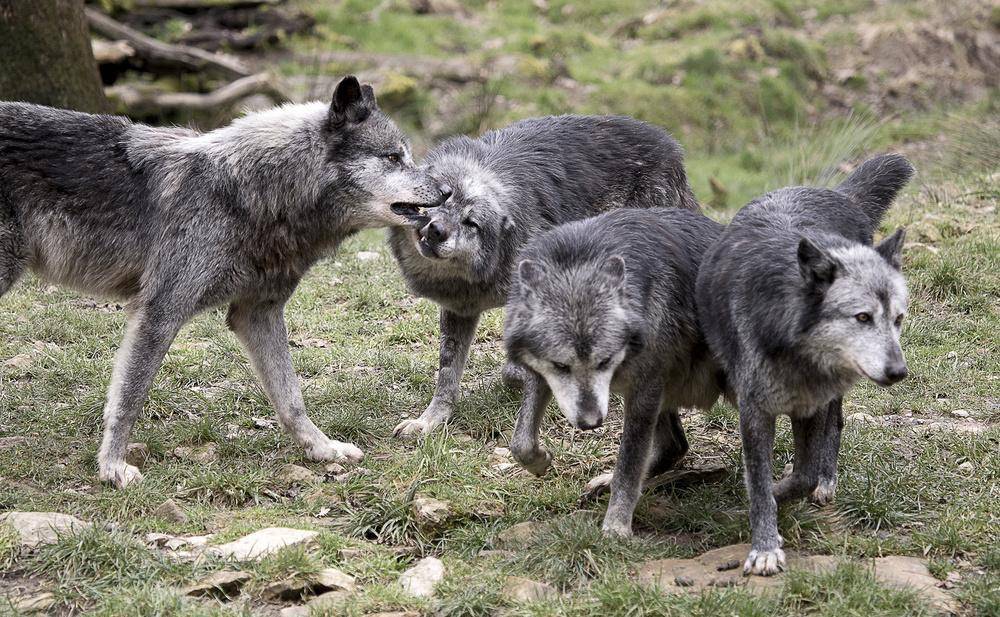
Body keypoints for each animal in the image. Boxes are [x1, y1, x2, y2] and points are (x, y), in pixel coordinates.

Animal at [0, 76, 448, 486]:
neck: (252, 194)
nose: (445, 190)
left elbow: (291, 398)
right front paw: (111, 468)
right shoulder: (160, 312)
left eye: (407, 155)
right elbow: (129, 398)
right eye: (392, 157)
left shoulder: (257, 313)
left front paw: (322, 449)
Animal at [386, 112, 700, 438]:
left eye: (471, 223)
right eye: (443, 198)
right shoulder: (460, 310)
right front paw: (430, 420)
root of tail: (672, 147)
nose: (437, 230)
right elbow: (447, 373)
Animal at [504, 206, 724, 536]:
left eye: (605, 361)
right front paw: (540, 461)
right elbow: (521, 443)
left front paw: (616, 527)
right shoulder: (540, 371)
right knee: (675, 446)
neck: (581, 259)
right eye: (561, 366)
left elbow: (628, 467)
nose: (591, 423)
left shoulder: (645, 390)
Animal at [696, 152, 916, 576]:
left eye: (898, 319)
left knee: (836, 427)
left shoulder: (811, 406)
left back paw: (827, 480)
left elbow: (802, 475)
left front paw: (781, 496)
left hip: (834, 394)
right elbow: (761, 483)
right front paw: (765, 545)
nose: (899, 373)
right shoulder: (755, 412)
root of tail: (833, 191)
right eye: (862, 317)